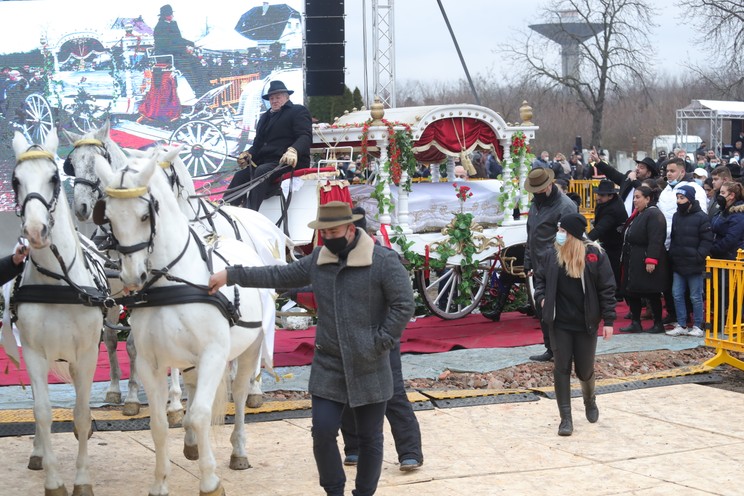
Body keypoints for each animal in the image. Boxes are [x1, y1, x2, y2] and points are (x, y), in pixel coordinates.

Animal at [10, 132, 104, 496]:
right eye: (15, 180)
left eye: (53, 177)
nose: (36, 231)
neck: (58, 282)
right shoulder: (34, 352)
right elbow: (42, 412)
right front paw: (53, 481)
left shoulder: (88, 354)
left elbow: (80, 413)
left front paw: (82, 480)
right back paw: (38, 452)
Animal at [95, 154, 264, 496]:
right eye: (110, 217)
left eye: (145, 215)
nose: (132, 277)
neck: (172, 284)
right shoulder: (150, 363)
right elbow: (159, 424)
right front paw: (160, 483)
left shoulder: (213, 355)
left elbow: (200, 413)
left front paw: (210, 482)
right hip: (190, 362)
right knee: (193, 388)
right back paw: (191, 443)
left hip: (249, 348)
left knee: (240, 394)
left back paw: (238, 451)